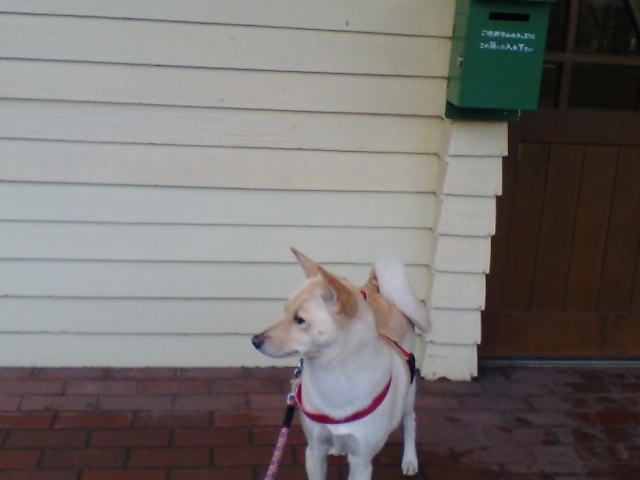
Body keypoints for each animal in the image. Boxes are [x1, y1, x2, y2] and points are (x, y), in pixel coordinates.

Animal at [252, 248, 430, 479]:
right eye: (284, 311)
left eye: (299, 319)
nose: (254, 340)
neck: (333, 375)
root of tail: (375, 287)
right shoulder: (314, 450)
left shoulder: (361, 462)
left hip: (409, 393)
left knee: (410, 421)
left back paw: (409, 458)